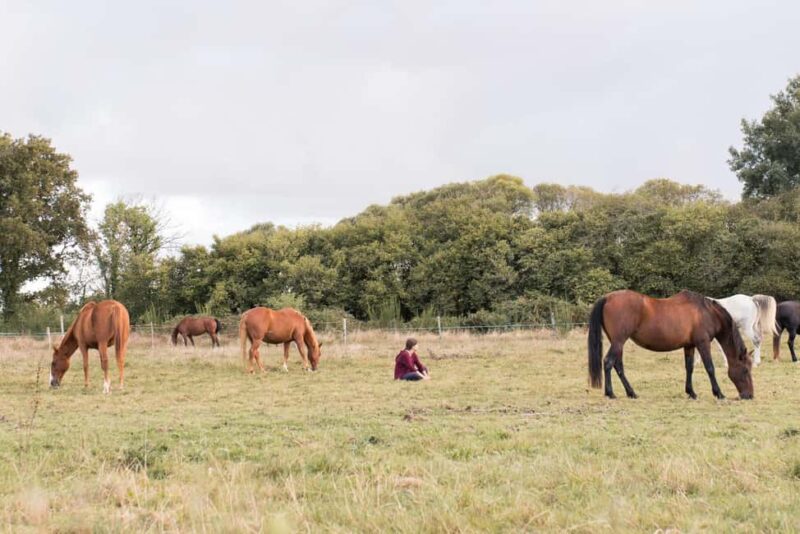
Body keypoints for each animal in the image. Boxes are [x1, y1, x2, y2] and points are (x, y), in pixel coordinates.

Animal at [588, 289, 753, 400]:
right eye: (745, 370)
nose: (749, 395)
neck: (706, 313)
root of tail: (607, 297)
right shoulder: (703, 343)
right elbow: (710, 368)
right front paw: (719, 393)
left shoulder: (689, 346)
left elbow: (689, 368)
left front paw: (691, 392)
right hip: (618, 341)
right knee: (608, 362)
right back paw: (610, 393)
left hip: (617, 343)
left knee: (618, 365)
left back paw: (631, 392)